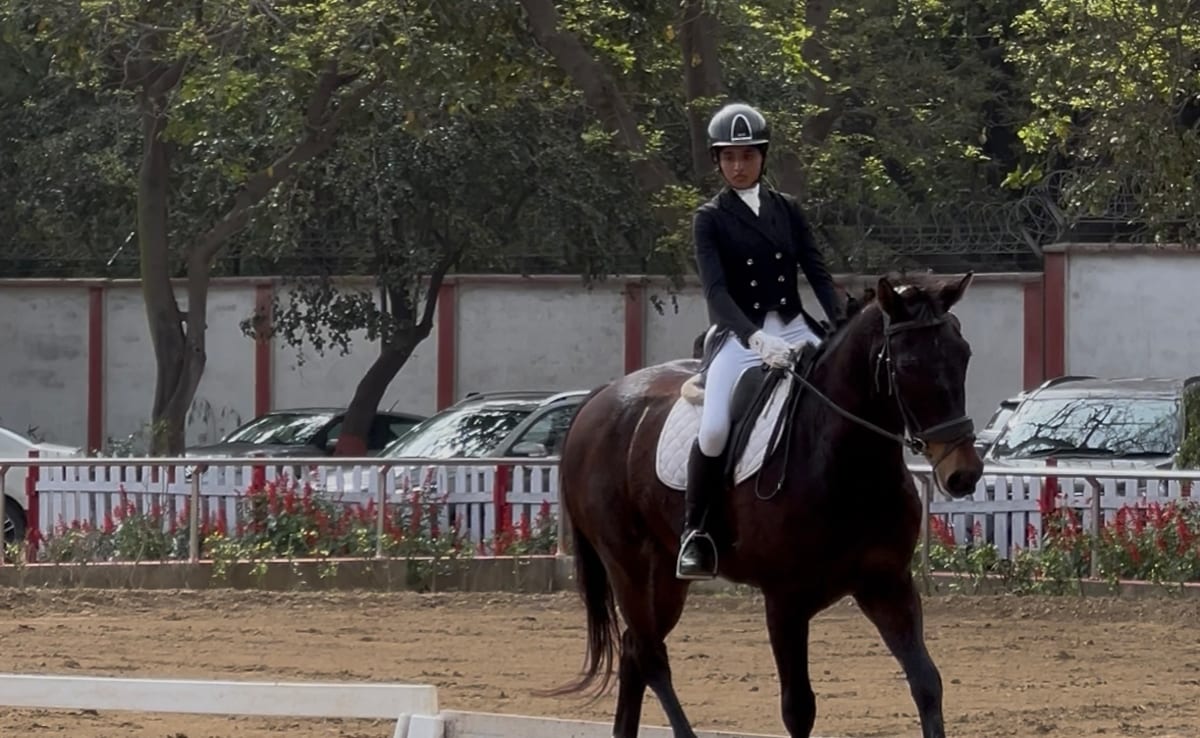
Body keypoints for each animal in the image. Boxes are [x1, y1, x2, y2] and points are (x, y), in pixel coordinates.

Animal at [545, 273, 984, 738]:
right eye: (907, 365)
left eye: (963, 355)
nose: (963, 473)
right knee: (649, 654)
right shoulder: (785, 600)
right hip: (627, 563)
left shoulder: (887, 584)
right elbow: (798, 708)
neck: (845, 462)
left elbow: (926, 682)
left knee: (634, 650)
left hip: (664, 572)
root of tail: (601, 396)